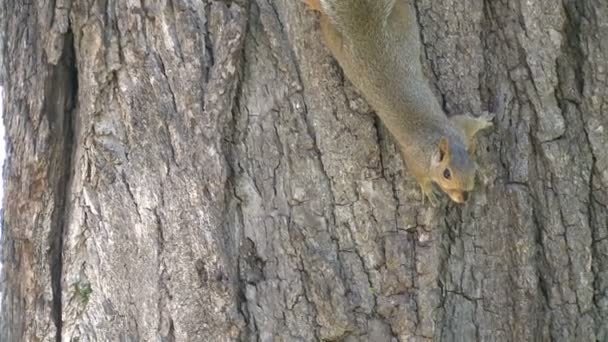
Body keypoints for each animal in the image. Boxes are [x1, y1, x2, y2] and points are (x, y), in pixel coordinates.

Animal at [304, 0, 494, 203]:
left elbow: (467, 122)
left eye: (473, 170)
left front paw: (483, 121)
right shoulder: (416, 159)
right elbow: (417, 174)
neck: (441, 141)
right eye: (446, 174)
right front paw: (428, 190)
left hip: (401, 19)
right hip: (335, 43)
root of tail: (365, 32)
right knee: (325, 21)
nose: (463, 198)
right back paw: (315, 6)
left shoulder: (459, 129)